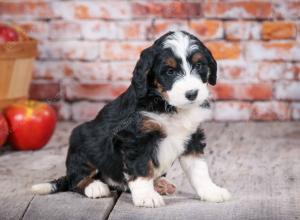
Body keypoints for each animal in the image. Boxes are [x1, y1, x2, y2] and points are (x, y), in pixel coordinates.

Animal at [31, 31, 231, 208]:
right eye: (170, 71)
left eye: (199, 66)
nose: (192, 94)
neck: (166, 105)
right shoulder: (136, 138)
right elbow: (141, 168)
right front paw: (147, 196)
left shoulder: (192, 137)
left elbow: (199, 169)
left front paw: (211, 191)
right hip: (81, 143)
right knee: (76, 179)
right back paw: (95, 186)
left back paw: (160, 184)